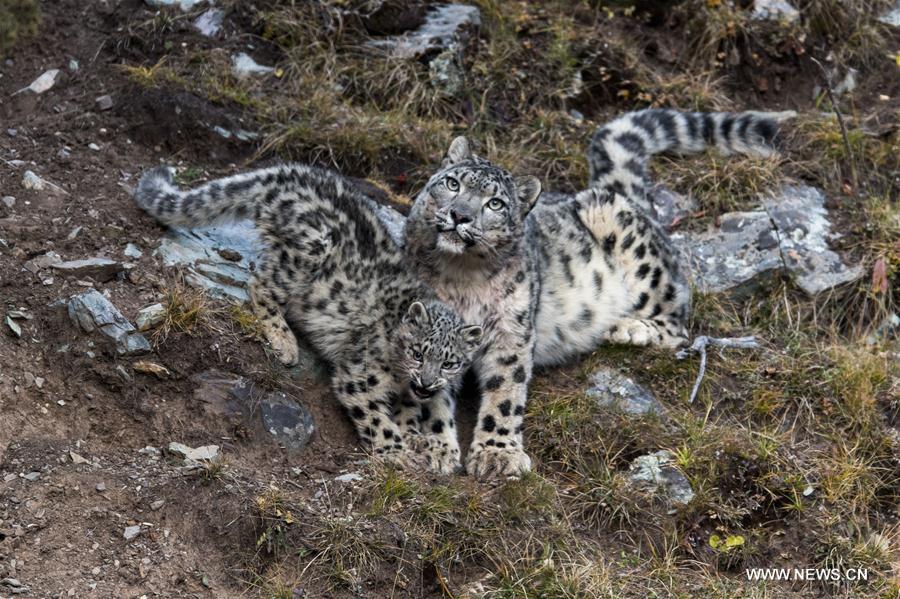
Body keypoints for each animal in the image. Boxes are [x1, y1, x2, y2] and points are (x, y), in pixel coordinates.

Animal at [132, 164, 486, 474]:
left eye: (450, 363)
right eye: (417, 353)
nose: (427, 382)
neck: (400, 377)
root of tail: (286, 172)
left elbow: (408, 413)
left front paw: (416, 439)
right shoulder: (358, 376)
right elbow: (377, 418)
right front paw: (397, 452)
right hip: (310, 247)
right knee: (260, 284)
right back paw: (284, 341)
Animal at [408, 106, 796, 478]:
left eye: (495, 204)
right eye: (452, 183)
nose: (459, 215)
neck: (464, 277)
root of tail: (626, 197)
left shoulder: (511, 332)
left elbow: (505, 393)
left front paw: (497, 455)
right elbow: (430, 393)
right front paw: (434, 448)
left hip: (627, 241)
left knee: (678, 321)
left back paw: (628, 328)